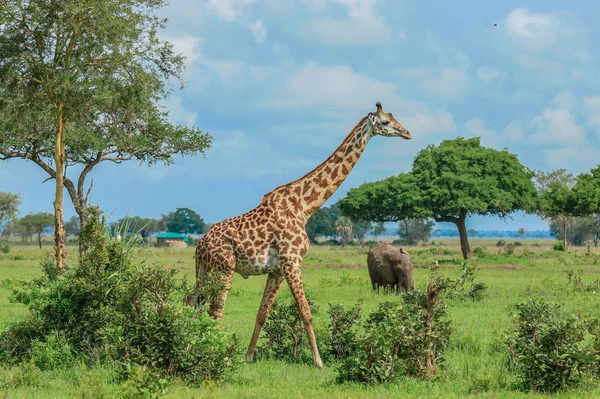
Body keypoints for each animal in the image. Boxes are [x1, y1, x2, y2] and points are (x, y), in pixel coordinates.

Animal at [195, 101, 410, 368]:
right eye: (385, 122)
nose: (407, 133)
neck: (305, 206)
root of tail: (200, 245)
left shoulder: (277, 270)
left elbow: (262, 313)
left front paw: (248, 356)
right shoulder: (292, 262)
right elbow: (306, 313)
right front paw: (319, 361)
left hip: (205, 271)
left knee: (192, 303)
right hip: (223, 268)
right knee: (215, 312)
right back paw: (220, 357)